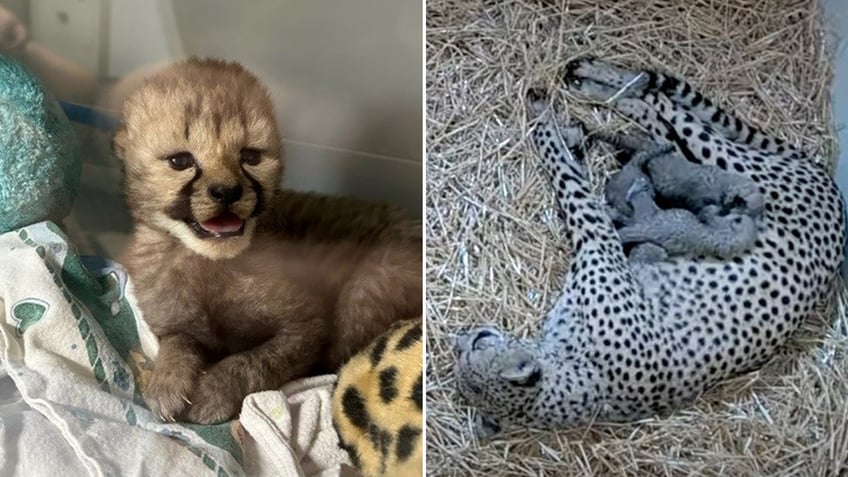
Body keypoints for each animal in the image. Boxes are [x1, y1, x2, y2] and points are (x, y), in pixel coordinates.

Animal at [454, 57, 844, 436]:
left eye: (477, 344)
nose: (460, 336)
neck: (579, 381)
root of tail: (831, 187)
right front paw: (569, 132)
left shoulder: (598, 235)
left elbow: (563, 169)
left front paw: (542, 116)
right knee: (662, 118)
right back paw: (605, 89)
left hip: (732, 163)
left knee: (669, 108)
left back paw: (595, 78)